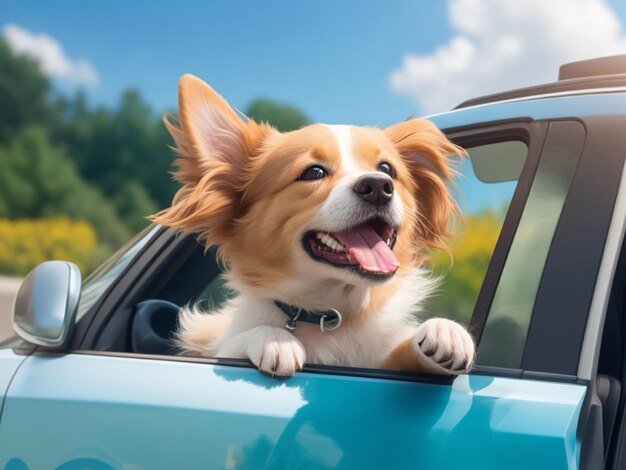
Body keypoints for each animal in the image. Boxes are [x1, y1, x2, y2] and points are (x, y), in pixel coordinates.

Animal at [151, 75, 472, 380]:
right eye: (313, 172)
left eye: (387, 169)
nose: (379, 186)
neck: (330, 318)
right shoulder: (227, 346)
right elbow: (235, 344)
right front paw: (275, 340)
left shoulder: (380, 360)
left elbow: (401, 352)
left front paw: (445, 330)